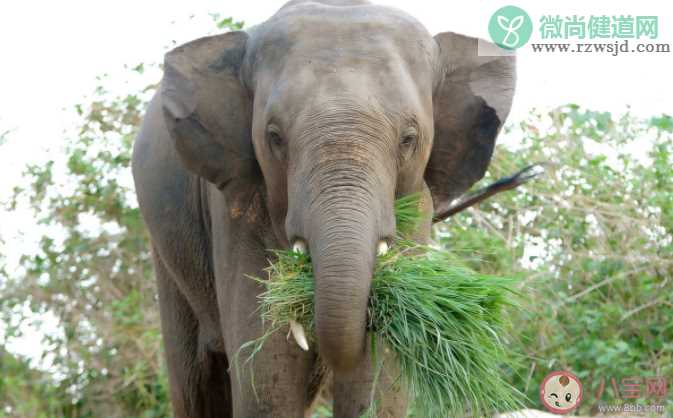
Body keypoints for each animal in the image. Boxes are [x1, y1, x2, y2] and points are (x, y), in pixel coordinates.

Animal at [131, 0, 516, 418]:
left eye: (409, 139)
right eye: (274, 137)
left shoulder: (417, 203)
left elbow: (381, 372)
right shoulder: (236, 207)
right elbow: (268, 376)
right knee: (196, 381)